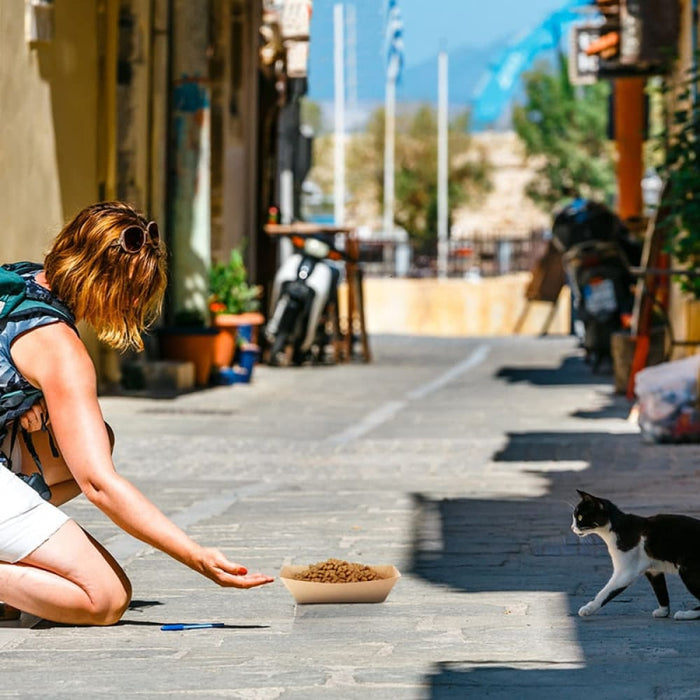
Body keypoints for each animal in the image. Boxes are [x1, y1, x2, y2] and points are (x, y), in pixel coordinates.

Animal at [576, 490, 700, 620]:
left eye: (580, 517)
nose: (572, 527)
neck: (616, 529)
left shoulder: (625, 572)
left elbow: (605, 592)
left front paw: (588, 608)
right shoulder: (653, 570)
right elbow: (660, 590)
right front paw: (663, 611)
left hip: (687, 569)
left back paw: (686, 614)